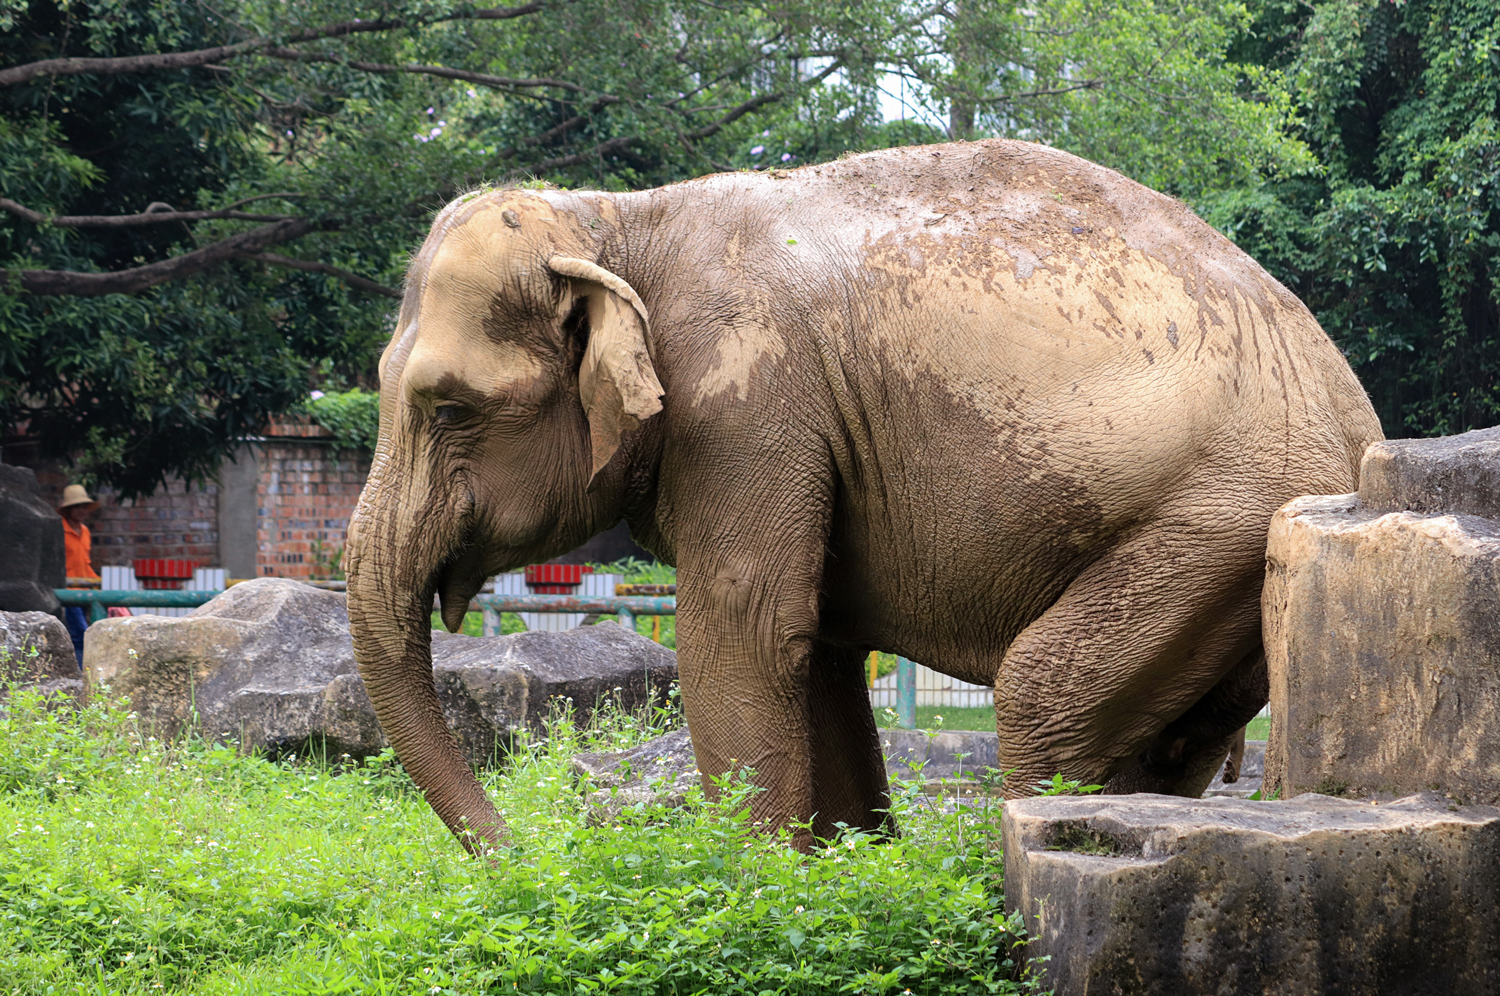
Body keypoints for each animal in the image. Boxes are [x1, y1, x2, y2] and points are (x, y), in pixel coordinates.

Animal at [344, 139, 1381, 854]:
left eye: (446, 407)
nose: (524, 853)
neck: (617, 222)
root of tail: (1358, 418)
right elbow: (821, 658)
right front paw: (842, 873)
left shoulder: (750, 406)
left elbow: (745, 634)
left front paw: (754, 886)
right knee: (1172, 740)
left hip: (1215, 524)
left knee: (1041, 697)